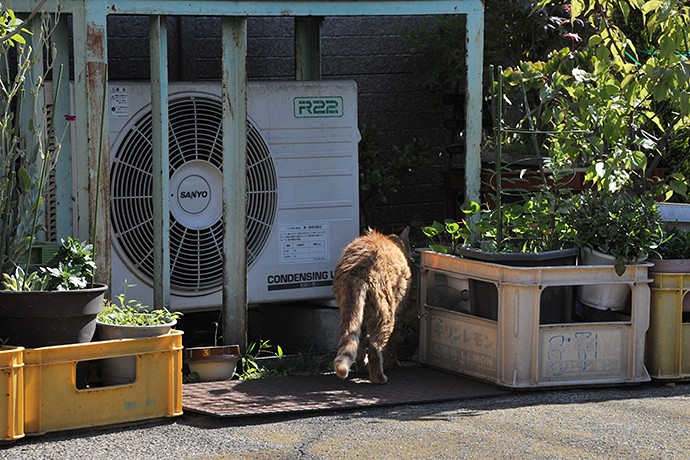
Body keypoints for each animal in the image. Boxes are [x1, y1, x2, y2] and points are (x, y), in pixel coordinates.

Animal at [332, 227, 412, 384]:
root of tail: (357, 271)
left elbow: (361, 346)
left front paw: (362, 366)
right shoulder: (400, 315)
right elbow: (394, 344)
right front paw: (392, 363)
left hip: (355, 313)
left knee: (359, 343)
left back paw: (362, 368)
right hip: (386, 315)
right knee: (375, 348)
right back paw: (379, 378)